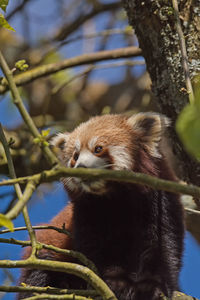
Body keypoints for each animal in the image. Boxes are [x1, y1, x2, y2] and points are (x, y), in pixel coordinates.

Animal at [18, 113, 184, 300]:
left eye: (98, 148)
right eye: (75, 156)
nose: (81, 166)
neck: (115, 196)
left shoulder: (161, 203)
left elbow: (162, 248)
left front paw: (152, 286)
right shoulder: (87, 213)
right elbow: (99, 252)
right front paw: (116, 283)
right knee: (40, 276)